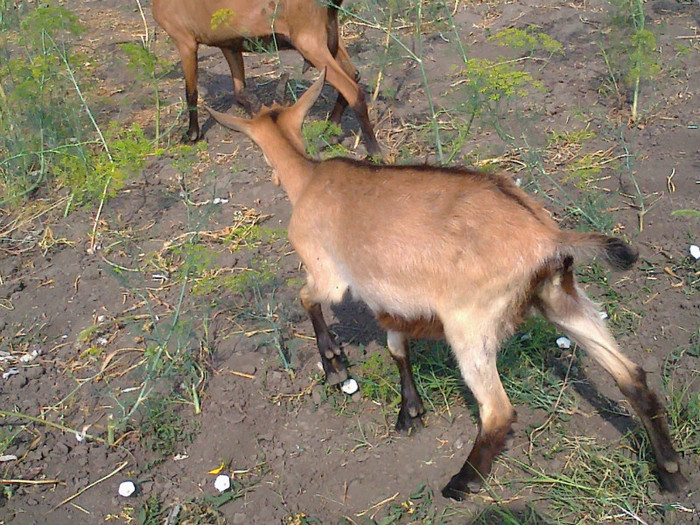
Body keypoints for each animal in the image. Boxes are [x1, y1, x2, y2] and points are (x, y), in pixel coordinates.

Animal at [153, 0, 380, 156]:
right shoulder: (229, 44)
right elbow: (240, 91)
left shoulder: (185, 41)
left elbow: (191, 92)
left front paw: (191, 135)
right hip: (328, 34)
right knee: (353, 75)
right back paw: (329, 129)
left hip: (309, 40)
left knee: (352, 89)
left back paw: (374, 152)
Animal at [205, 72, 688, 500]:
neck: (309, 181)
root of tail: (545, 237)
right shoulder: (392, 302)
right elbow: (397, 347)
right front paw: (410, 412)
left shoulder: (331, 277)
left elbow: (306, 297)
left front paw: (335, 364)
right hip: (560, 297)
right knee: (631, 375)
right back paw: (671, 473)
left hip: (470, 324)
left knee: (498, 410)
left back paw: (461, 483)